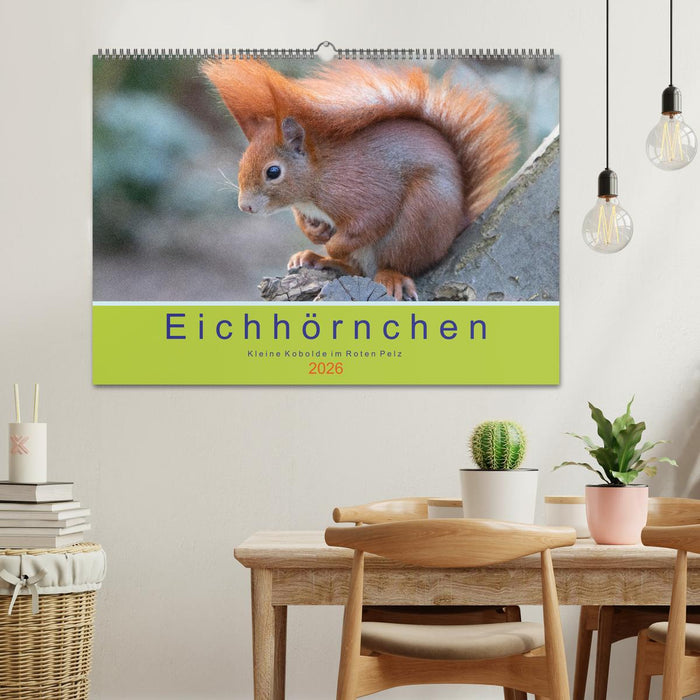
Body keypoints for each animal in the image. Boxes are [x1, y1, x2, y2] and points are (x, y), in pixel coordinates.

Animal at [202, 59, 516, 300]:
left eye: (273, 172)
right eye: (242, 161)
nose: (245, 206)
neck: (316, 180)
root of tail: (457, 224)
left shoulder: (360, 189)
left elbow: (370, 220)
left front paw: (332, 243)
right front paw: (315, 234)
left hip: (421, 218)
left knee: (395, 263)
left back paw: (387, 274)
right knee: (357, 270)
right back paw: (316, 258)